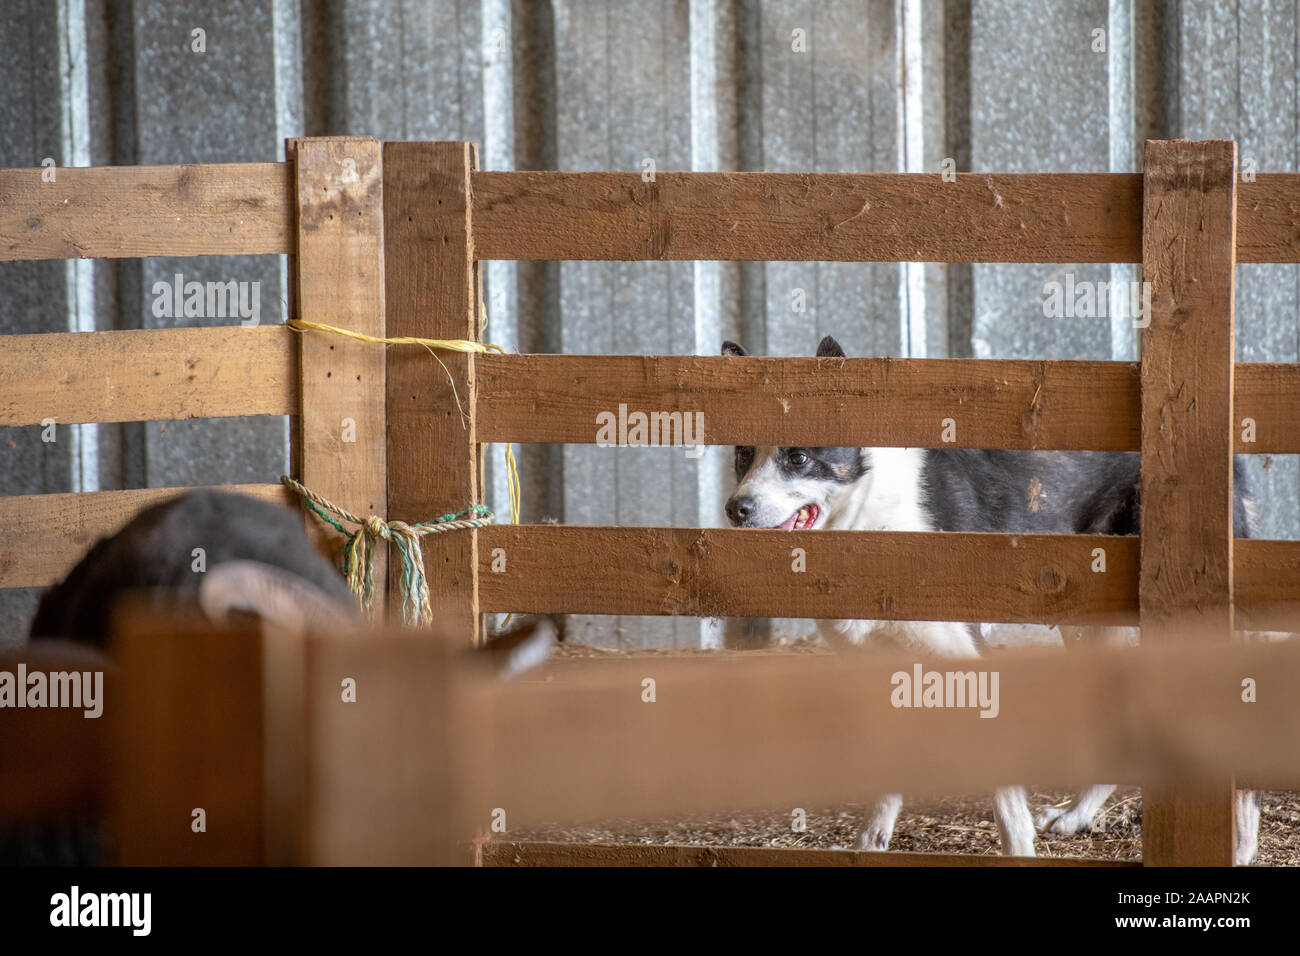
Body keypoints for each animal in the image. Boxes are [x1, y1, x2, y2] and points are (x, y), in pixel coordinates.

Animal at [722, 338, 1258, 868]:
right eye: (742, 454)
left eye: (797, 457)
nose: (735, 509)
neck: (869, 521)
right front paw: (869, 843)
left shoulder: (968, 660)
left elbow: (1005, 796)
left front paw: (1019, 851)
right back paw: (1078, 814)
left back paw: (1241, 845)